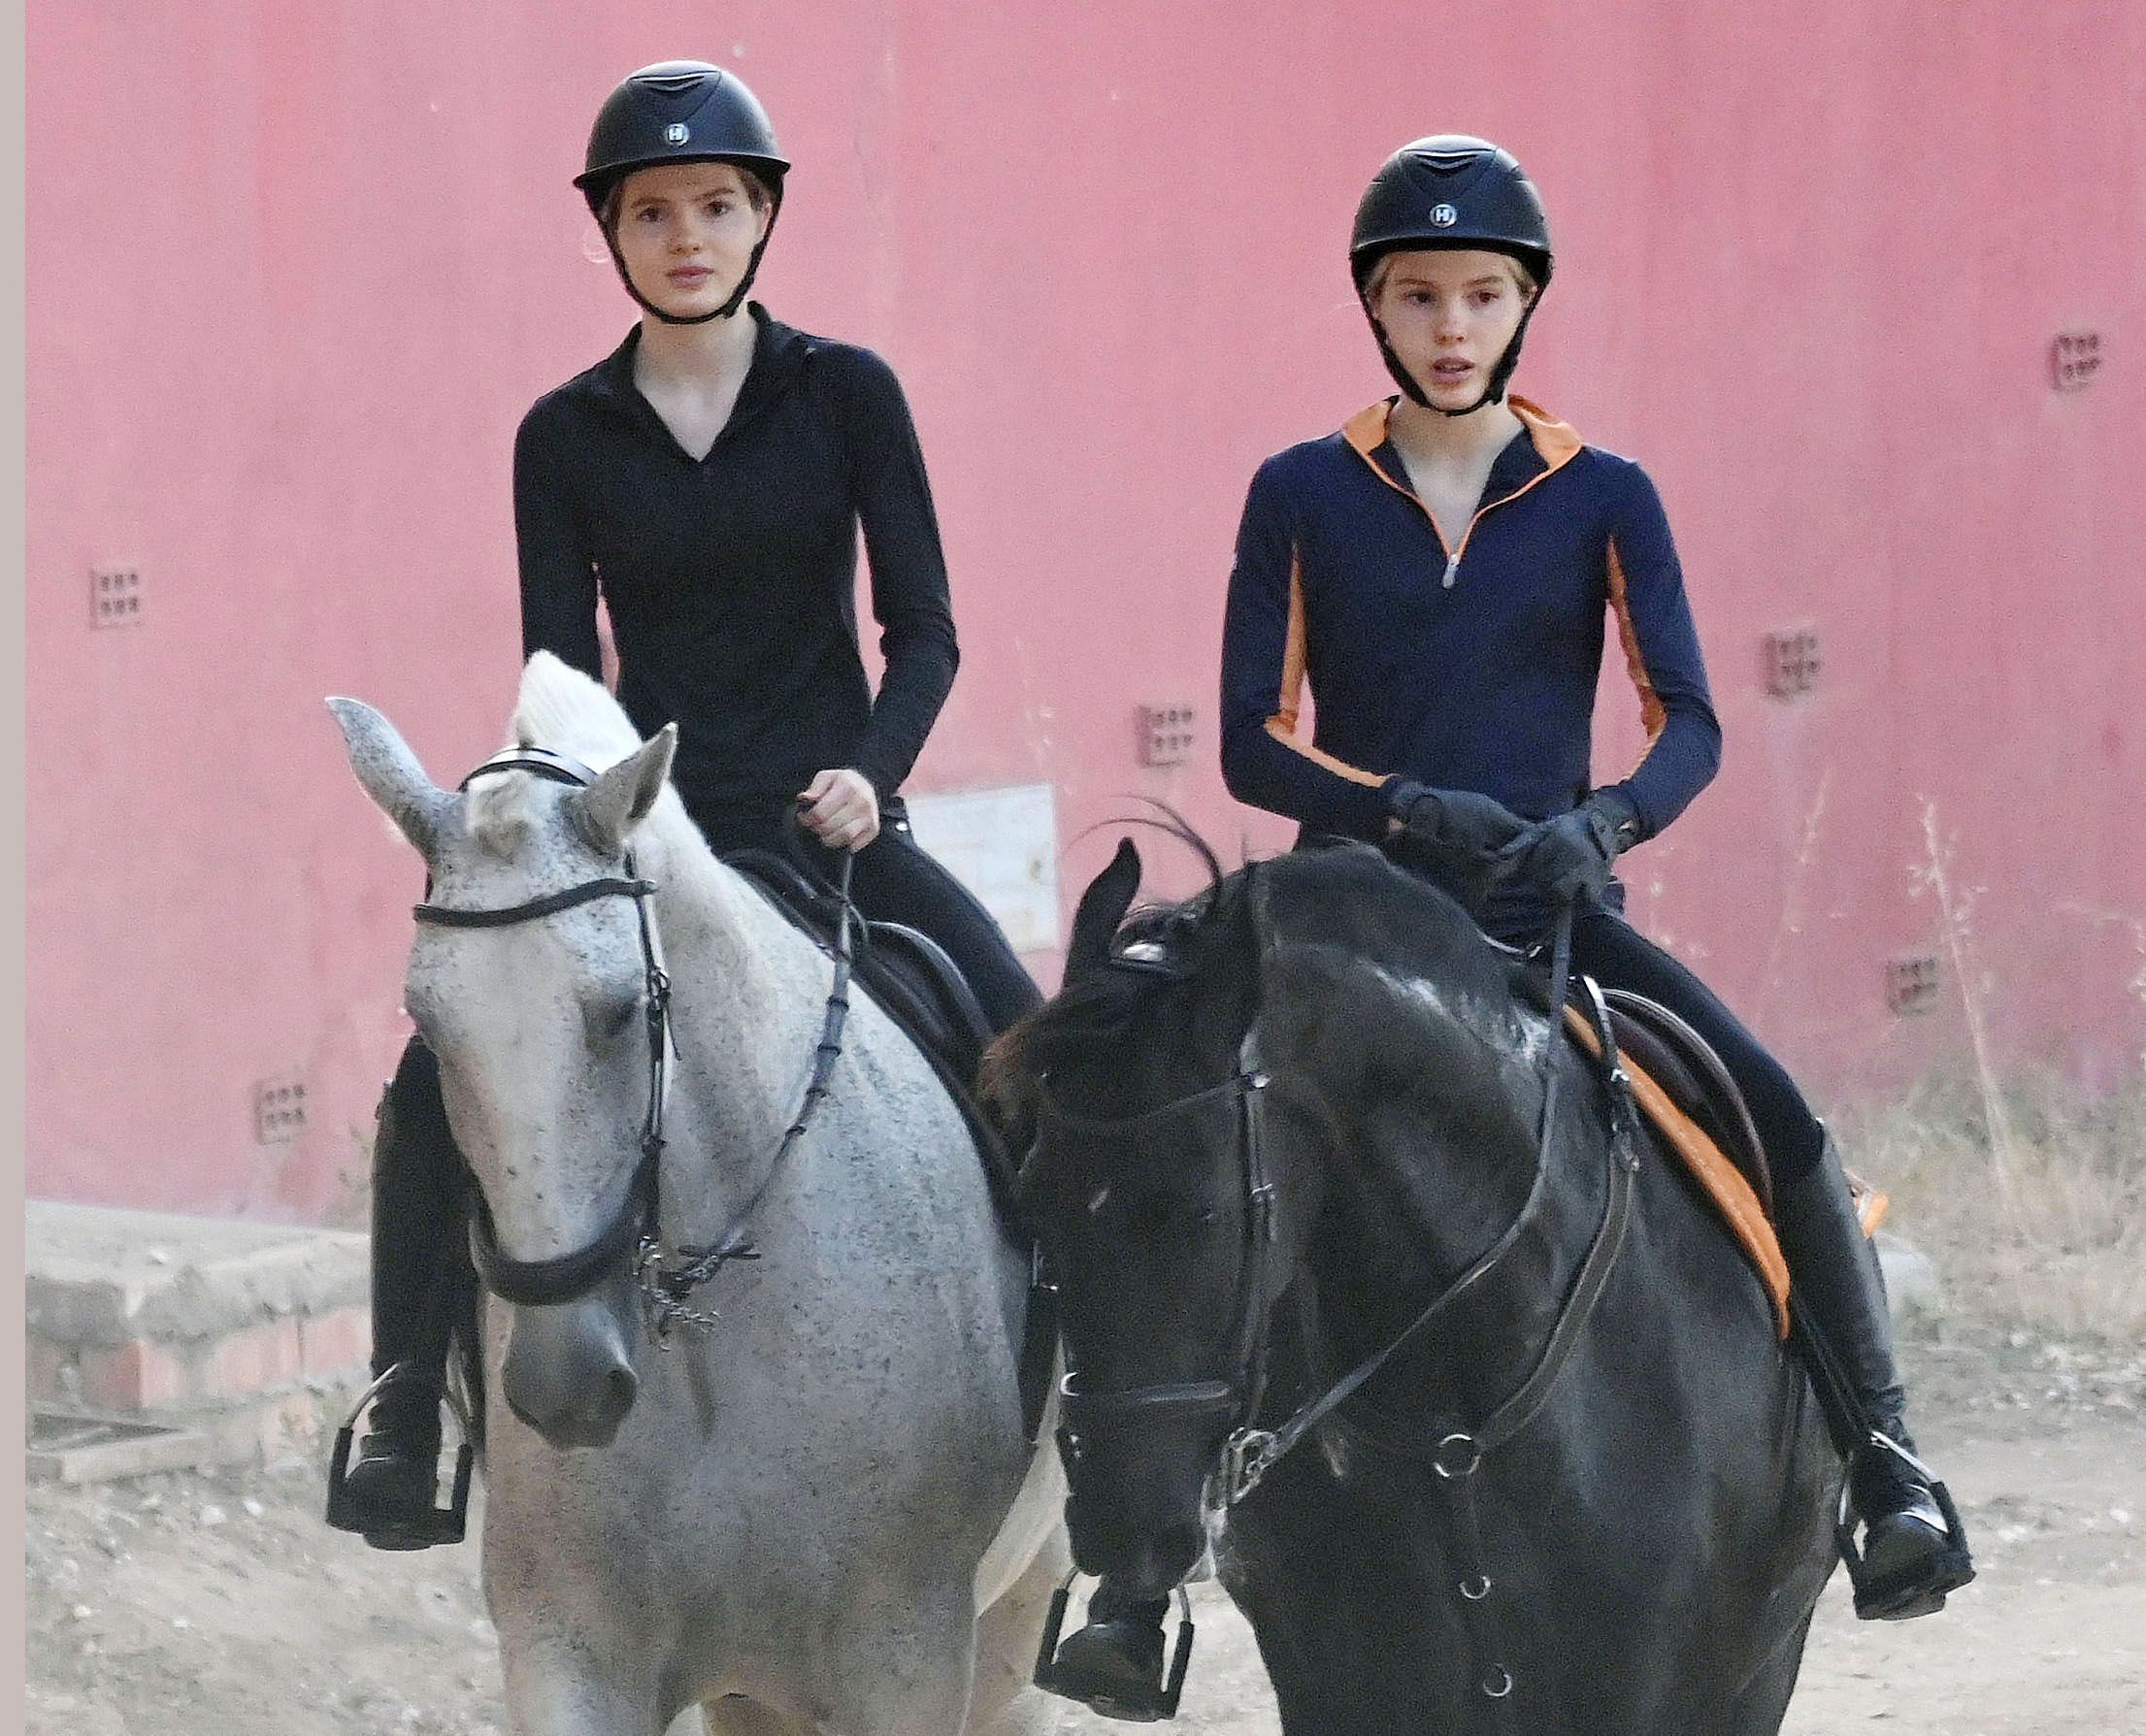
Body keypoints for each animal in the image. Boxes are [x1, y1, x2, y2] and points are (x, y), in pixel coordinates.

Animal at [328, 652, 1064, 1733]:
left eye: (624, 1009)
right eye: (426, 1021)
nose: (566, 1383)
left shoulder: (907, 1660)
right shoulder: (570, 1652)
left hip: (1012, 1623)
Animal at [991, 833, 1845, 1724]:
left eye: (1199, 1210)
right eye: (1033, 1197)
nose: (1116, 1525)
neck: (1461, 1401)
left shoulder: (1652, 1685)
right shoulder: (1338, 1681)